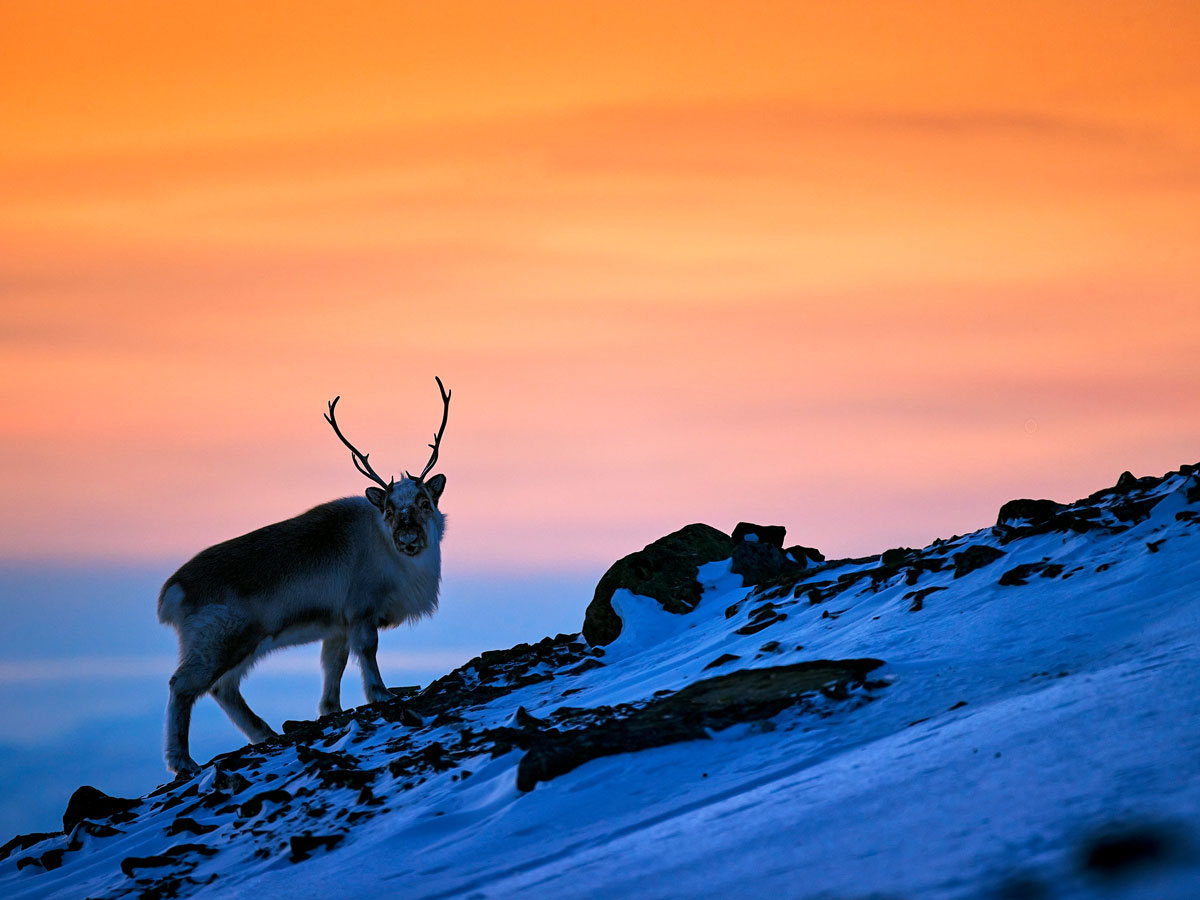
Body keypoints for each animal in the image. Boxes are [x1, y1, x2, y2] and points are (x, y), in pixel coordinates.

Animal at [157, 378, 451, 776]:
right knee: (182, 686)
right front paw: (381, 693)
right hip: (218, 640)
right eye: (389, 510)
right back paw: (182, 761)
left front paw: (332, 709)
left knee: (223, 689)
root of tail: (175, 590)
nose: (407, 537)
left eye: (425, 503)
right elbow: (367, 652)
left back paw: (264, 733)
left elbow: (333, 667)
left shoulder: (337, 626)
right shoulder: (362, 612)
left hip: (244, 645)